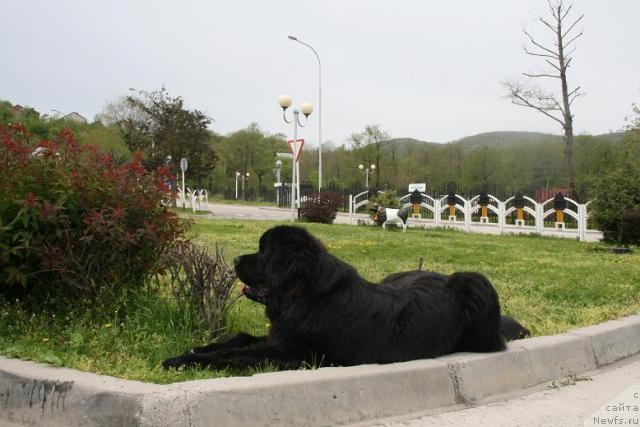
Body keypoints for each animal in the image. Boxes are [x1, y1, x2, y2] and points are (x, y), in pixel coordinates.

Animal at [162, 224, 528, 372]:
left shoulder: (297, 352)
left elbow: (240, 354)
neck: (306, 298)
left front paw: (182, 360)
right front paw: (200, 348)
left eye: (265, 253)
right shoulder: (282, 334)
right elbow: (238, 338)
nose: (237, 259)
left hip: (478, 284)